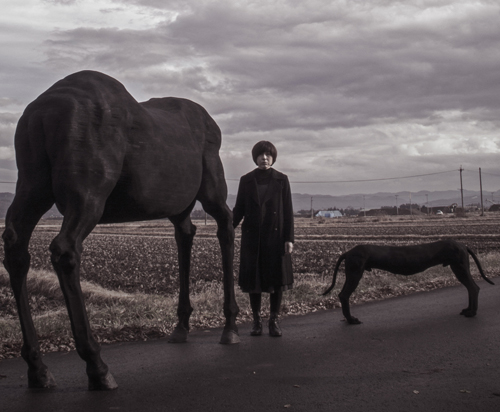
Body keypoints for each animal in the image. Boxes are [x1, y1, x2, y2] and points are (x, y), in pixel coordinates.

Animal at [1, 71, 240, 390]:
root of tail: (40, 114)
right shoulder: (208, 190)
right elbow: (222, 229)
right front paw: (230, 323)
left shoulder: (179, 208)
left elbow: (185, 239)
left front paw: (183, 323)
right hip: (88, 196)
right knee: (65, 250)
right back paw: (96, 364)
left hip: (33, 188)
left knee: (16, 250)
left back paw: (38, 368)